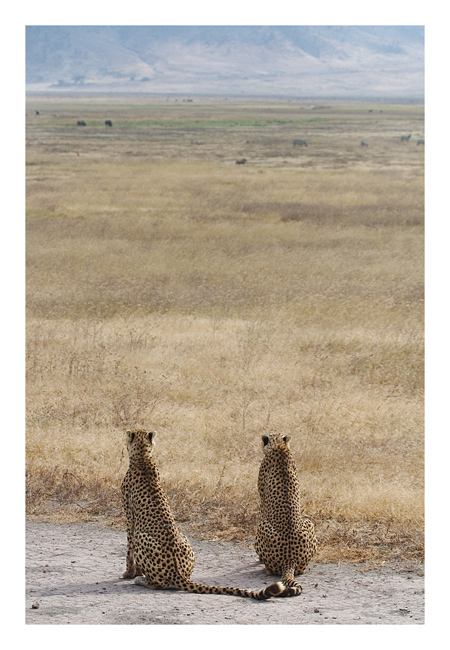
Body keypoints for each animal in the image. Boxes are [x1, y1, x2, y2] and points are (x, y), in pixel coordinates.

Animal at [121, 429, 287, 599]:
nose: (125, 437)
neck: (143, 457)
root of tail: (178, 575)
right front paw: (136, 572)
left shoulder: (130, 517)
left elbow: (129, 548)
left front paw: (129, 574)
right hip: (183, 538)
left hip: (143, 536)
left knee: (157, 584)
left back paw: (142, 581)